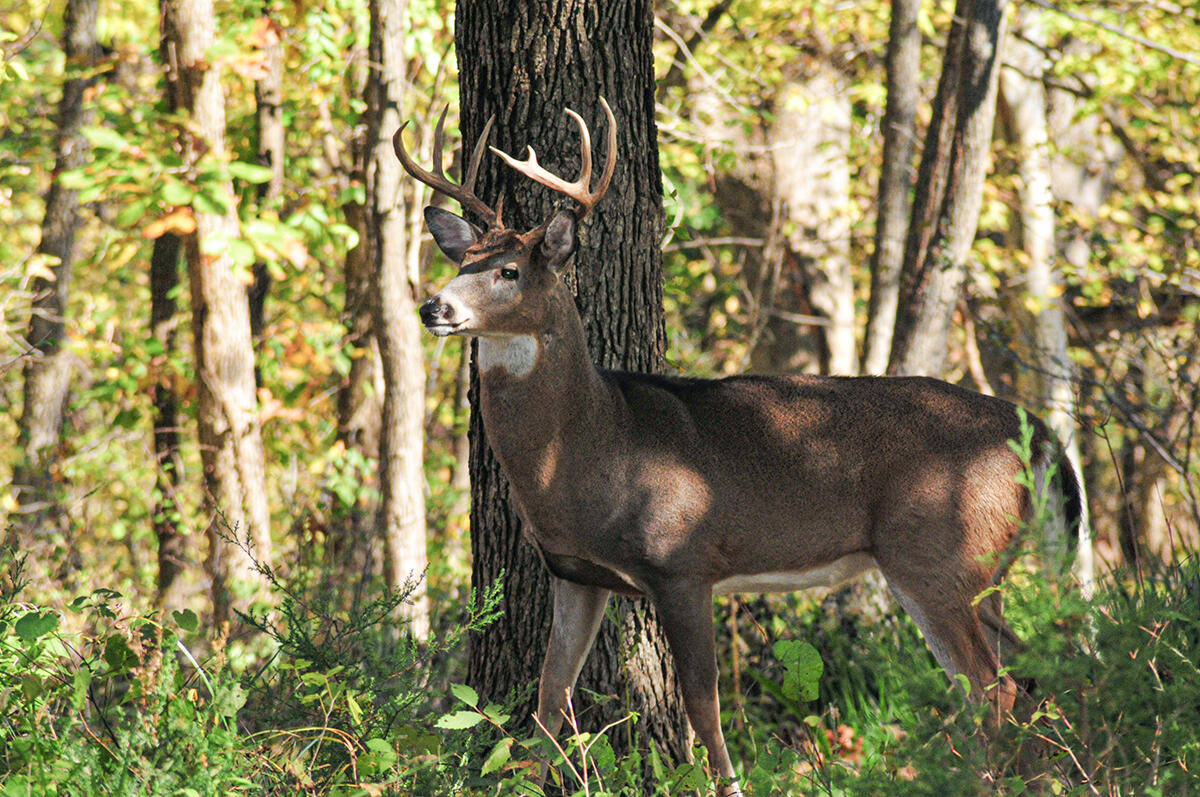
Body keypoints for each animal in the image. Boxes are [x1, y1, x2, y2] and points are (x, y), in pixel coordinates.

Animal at [394, 99, 1083, 795]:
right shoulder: (575, 573)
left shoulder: (683, 563)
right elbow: (548, 698)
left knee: (994, 690)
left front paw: (727, 783)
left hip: (937, 554)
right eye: (461, 263)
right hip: (980, 566)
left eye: (508, 271)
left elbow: (704, 705)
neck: (592, 450)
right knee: (1036, 671)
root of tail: (1042, 437)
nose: (434, 307)